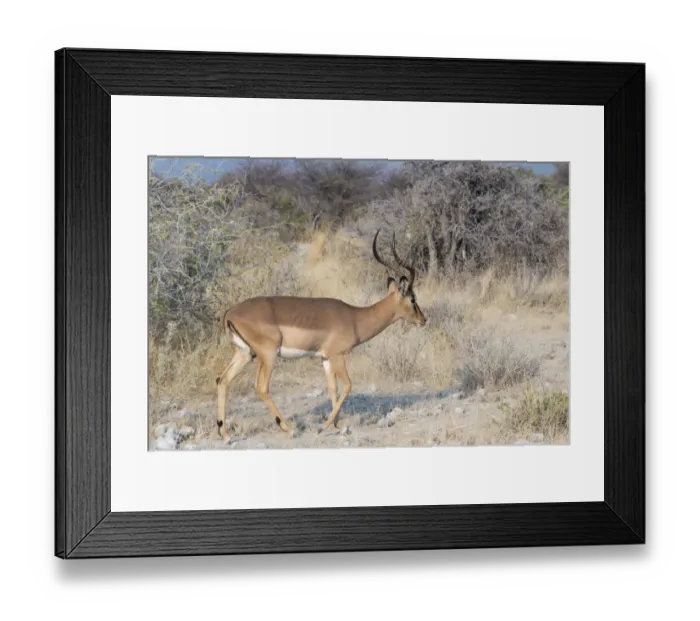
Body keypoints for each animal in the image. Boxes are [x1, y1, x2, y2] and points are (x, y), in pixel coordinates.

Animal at [215, 228, 427, 442]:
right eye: (413, 298)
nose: (423, 319)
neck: (354, 317)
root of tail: (230, 313)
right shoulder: (338, 356)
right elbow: (348, 385)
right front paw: (323, 426)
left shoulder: (325, 358)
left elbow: (333, 388)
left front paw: (339, 425)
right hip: (268, 355)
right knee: (261, 387)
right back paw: (289, 429)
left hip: (244, 354)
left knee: (222, 380)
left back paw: (225, 434)